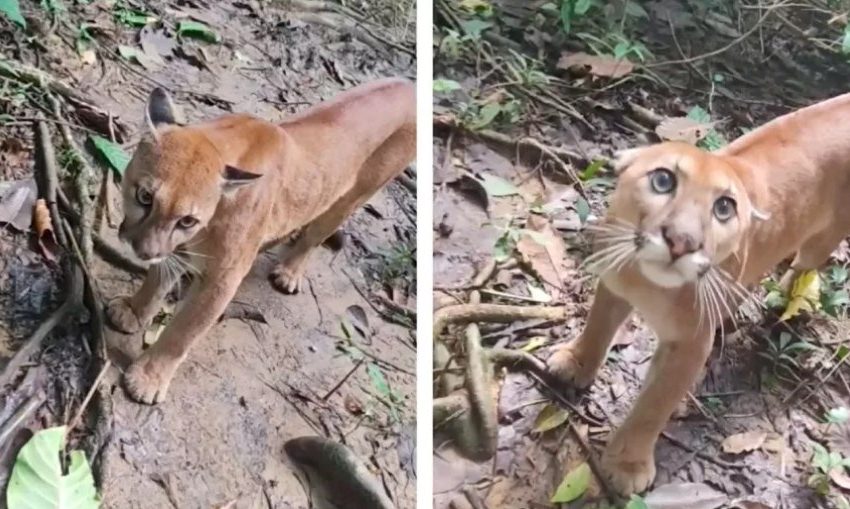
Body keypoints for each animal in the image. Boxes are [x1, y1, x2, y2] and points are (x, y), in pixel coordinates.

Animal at [104, 78, 416, 404]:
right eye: (145, 196)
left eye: (187, 220)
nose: (143, 252)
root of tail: (407, 84)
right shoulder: (176, 248)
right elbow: (157, 278)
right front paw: (134, 310)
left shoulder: (222, 278)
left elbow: (183, 332)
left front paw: (148, 378)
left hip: (353, 196)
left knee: (316, 234)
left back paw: (289, 271)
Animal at [548, 93, 850, 494]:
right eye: (663, 180)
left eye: (724, 208)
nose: (682, 241)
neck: (646, 284)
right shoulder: (615, 282)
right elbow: (597, 327)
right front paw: (576, 362)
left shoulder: (691, 344)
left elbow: (654, 405)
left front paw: (628, 465)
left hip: (823, 239)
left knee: (806, 264)